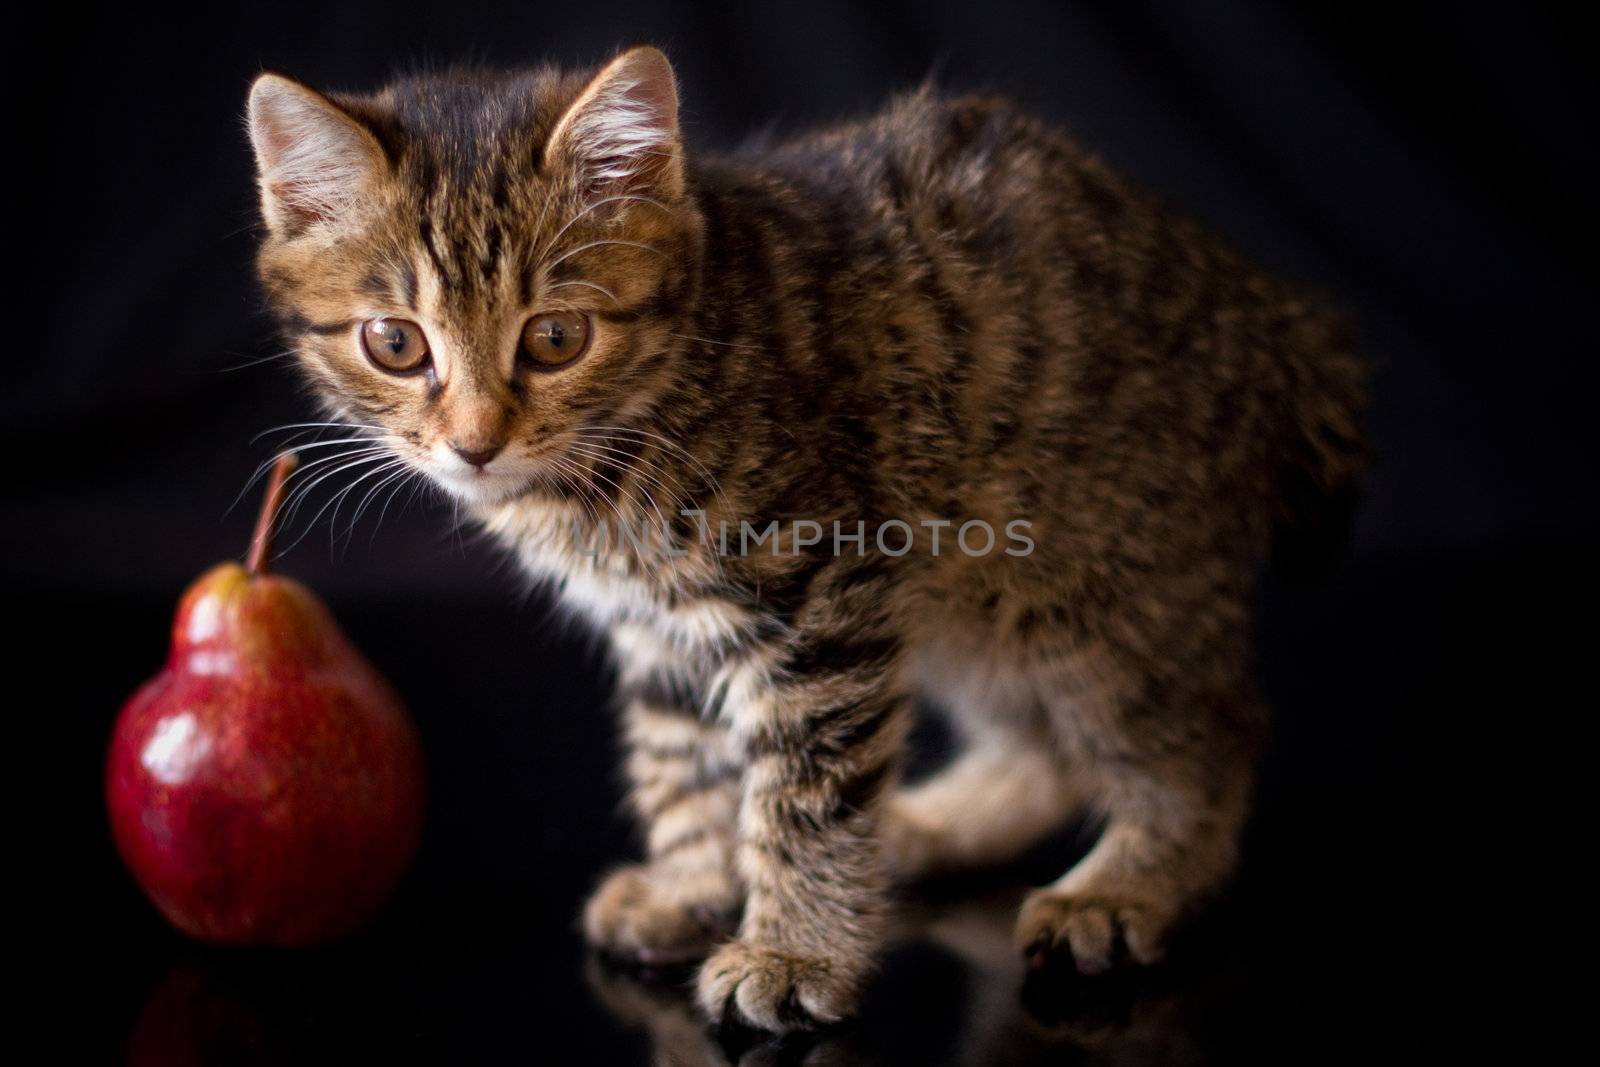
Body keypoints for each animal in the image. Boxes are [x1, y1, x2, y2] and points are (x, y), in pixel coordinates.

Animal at [246, 45, 1363, 1030]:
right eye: (395, 344)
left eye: (555, 337)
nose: (476, 444)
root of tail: (1261, 306)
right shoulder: (663, 630)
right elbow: (680, 759)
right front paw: (693, 882)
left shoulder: (820, 597)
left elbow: (807, 790)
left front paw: (794, 950)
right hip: (975, 593)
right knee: (1043, 746)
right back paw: (929, 822)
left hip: (1093, 573)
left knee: (1207, 732)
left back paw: (1126, 884)